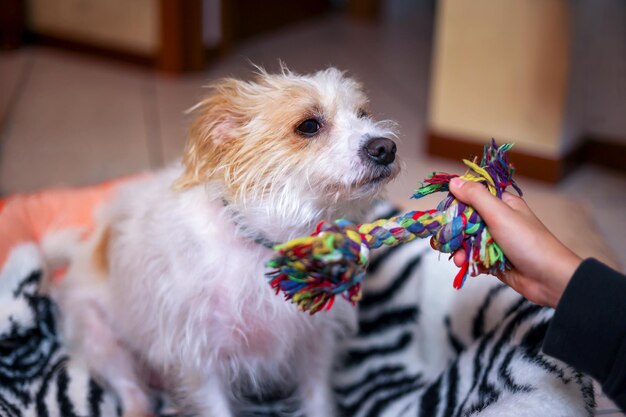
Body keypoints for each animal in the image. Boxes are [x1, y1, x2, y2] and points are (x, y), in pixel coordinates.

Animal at [51, 66, 398, 414]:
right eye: (309, 126)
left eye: (363, 114)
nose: (385, 148)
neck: (264, 246)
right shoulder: (199, 363)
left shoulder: (316, 344)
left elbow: (318, 401)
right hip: (102, 343)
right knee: (131, 390)